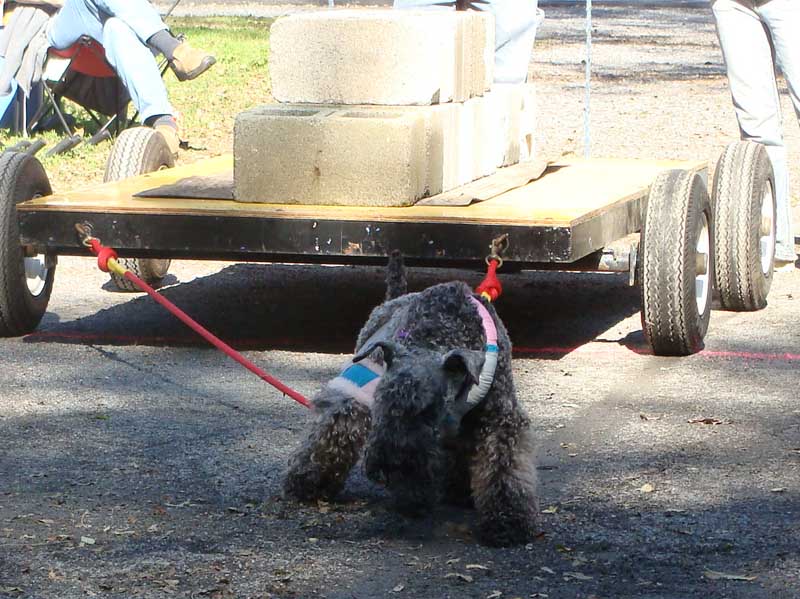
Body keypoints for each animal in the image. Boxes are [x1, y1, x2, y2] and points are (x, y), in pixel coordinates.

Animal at [284, 255, 540, 548]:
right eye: (383, 405)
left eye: (425, 410)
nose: (387, 468)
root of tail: (394, 297)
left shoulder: (499, 417)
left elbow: (503, 465)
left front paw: (507, 520)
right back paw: (308, 482)